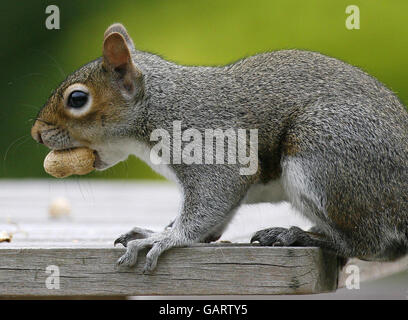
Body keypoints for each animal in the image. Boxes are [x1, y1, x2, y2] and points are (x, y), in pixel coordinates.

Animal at [31, 23, 408, 272]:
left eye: (77, 99)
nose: (36, 133)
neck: (160, 106)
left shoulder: (209, 145)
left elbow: (211, 200)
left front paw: (164, 239)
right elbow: (214, 219)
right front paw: (158, 230)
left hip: (325, 149)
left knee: (372, 244)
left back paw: (299, 236)